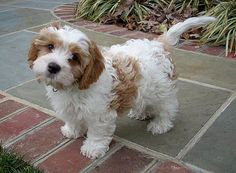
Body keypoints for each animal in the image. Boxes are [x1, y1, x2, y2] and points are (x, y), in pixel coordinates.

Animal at [27, 16, 216, 159]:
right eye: (50, 46)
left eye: (74, 57)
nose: (53, 67)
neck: (74, 86)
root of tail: (158, 45)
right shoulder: (67, 106)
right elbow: (72, 118)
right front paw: (71, 130)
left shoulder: (100, 114)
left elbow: (97, 132)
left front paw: (92, 148)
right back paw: (140, 113)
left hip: (163, 91)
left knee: (167, 108)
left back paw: (160, 124)